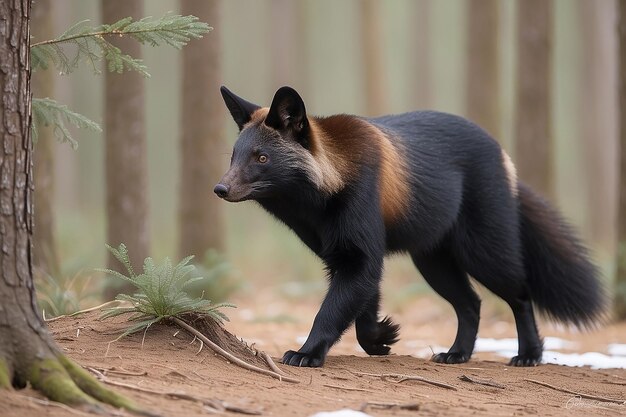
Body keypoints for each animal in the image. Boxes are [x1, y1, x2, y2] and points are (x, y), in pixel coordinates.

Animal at [214, 85, 604, 368]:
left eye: (261, 158)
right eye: (233, 156)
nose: (219, 189)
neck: (329, 191)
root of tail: (504, 156)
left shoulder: (360, 257)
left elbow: (330, 312)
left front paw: (307, 353)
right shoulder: (349, 258)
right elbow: (362, 312)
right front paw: (381, 340)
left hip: (484, 255)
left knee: (521, 296)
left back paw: (529, 355)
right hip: (433, 263)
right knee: (471, 303)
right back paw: (457, 354)